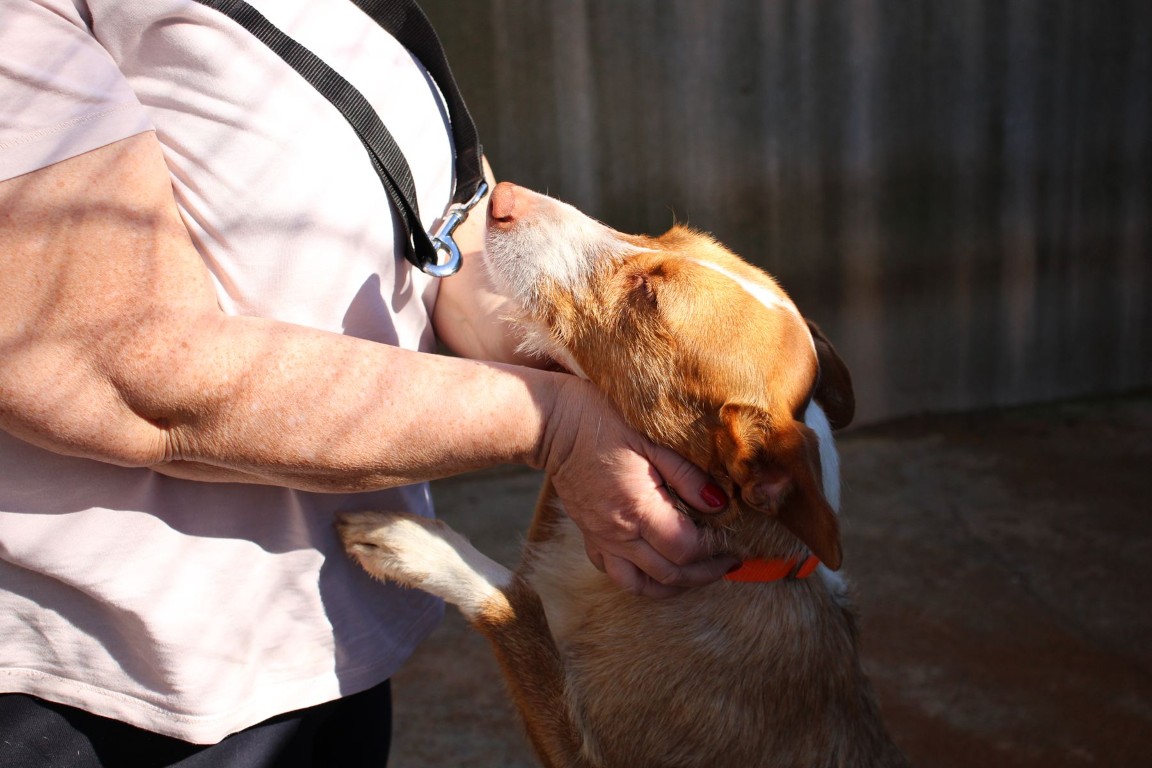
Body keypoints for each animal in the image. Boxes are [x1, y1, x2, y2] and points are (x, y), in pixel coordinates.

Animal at [338, 183, 908, 767]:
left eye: (648, 297)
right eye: (665, 235)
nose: (502, 195)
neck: (738, 562)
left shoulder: (586, 755)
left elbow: (515, 602)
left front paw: (418, 544)